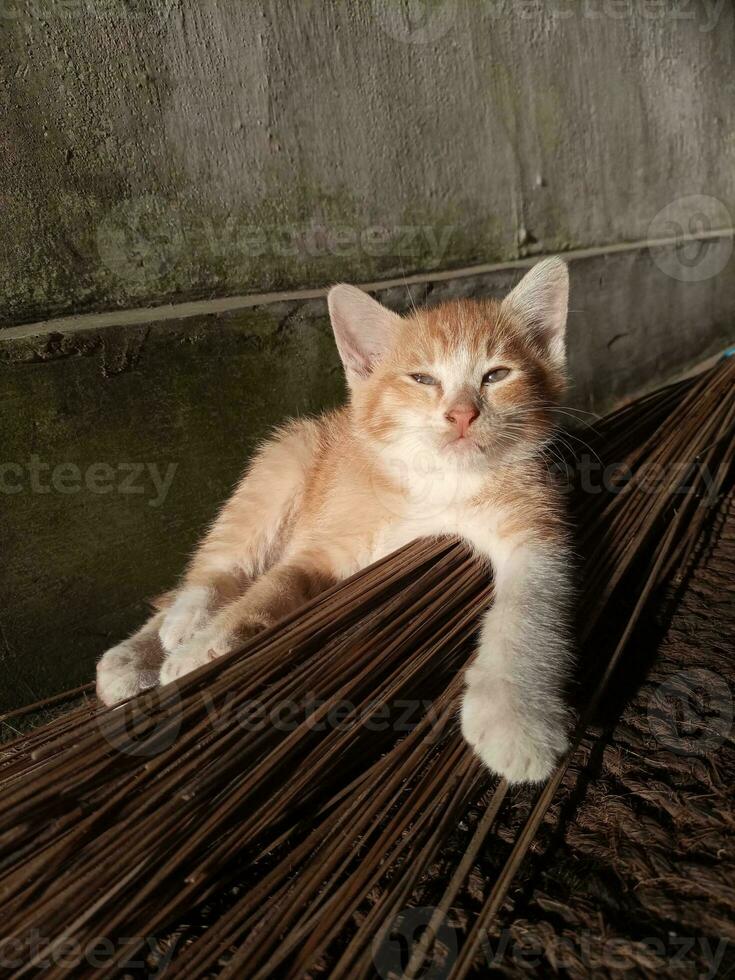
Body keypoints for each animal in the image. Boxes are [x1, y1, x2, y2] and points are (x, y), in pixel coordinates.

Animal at [95, 258, 572, 780]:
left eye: (497, 375)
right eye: (422, 379)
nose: (462, 414)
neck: (436, 483)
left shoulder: (536, 530)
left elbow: (531, 606)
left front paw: (515, 715)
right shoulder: (325, 543)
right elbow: (274, 587)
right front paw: (202, 648)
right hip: (283, 463)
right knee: (214, 569)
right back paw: (166, 633)